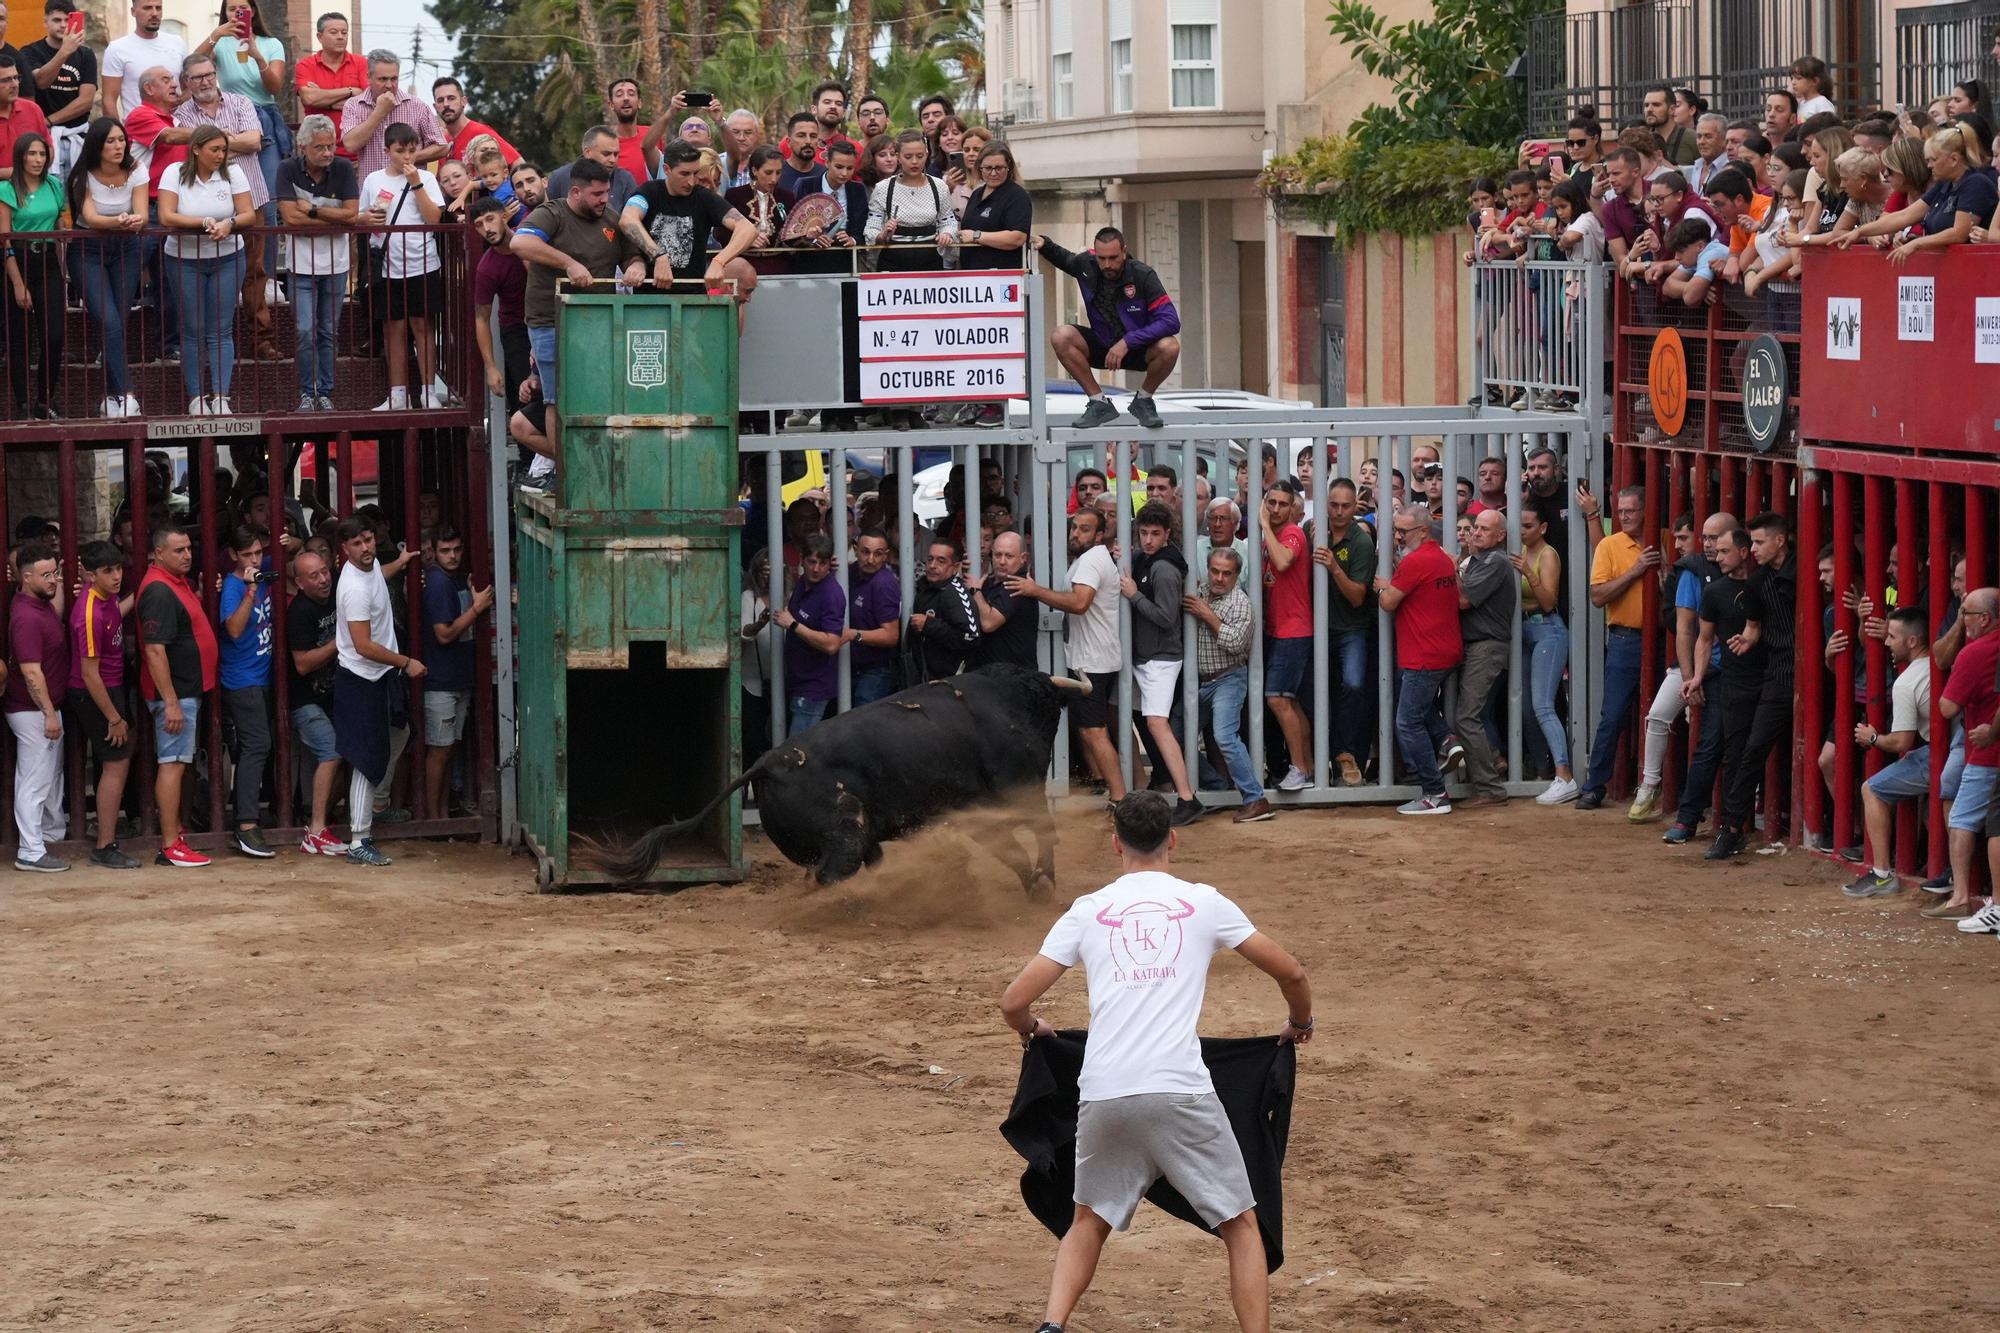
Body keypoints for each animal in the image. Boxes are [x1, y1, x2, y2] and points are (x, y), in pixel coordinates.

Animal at [588, 660, 1096, 888]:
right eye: (1048, 706)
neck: (1010, 701)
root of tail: (766, 763)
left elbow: (1012, 849)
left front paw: (1035, 883)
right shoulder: (1016, 791)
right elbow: (1041, 835)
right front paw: (1044, 884)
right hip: (846, 836)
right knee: (834, 874)